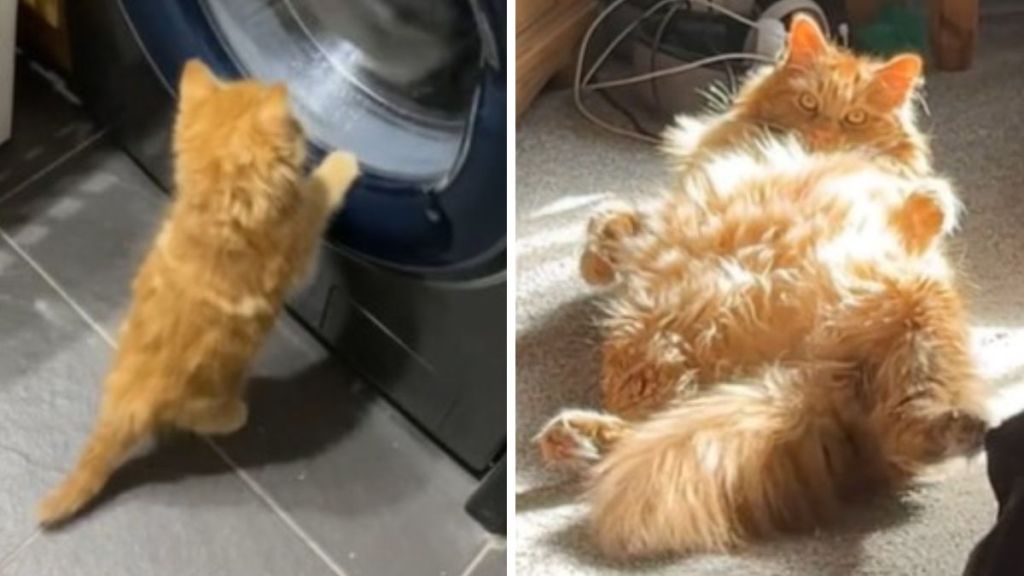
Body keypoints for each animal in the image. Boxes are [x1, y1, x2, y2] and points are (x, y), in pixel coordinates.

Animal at [36, 59, 362, 524]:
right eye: (295, 125)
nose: (305, 128)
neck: (216, 209)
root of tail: (125, 402)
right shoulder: (296, 245)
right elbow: (317, 195)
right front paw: (339, 164)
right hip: (209, 394)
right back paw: (234, 416)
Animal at [540, 16, 987, 557]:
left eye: (854, 118)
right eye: (809, 104)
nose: (821, 132)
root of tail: (817, 375)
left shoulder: (911, 210)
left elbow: (928, 199)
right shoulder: (658, 210)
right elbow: (602, 227)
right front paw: (597, 264)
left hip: (918, 309)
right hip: (652, 344)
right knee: (642, 428)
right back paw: (572, 439)